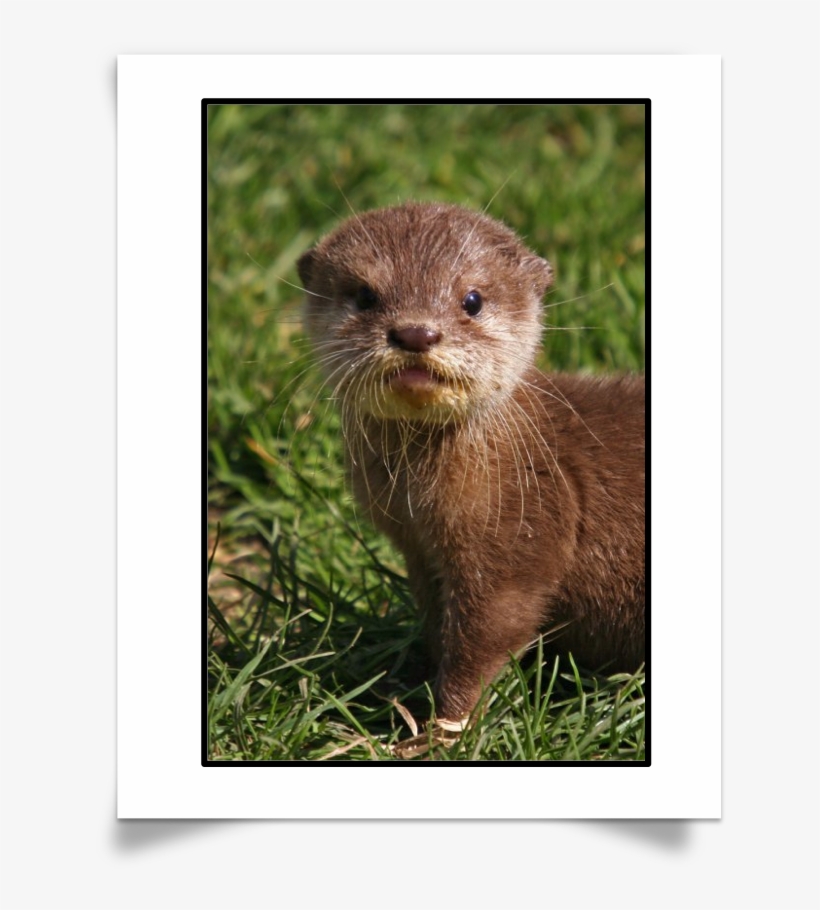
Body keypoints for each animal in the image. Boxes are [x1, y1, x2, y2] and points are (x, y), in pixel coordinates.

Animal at [297, 202, 645, 724]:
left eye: (473, 299)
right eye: (365, 295)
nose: (416, 332)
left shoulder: (520, 536)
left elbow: (490, 636)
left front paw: (441, 726)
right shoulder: (417, 550)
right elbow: (438, 626)